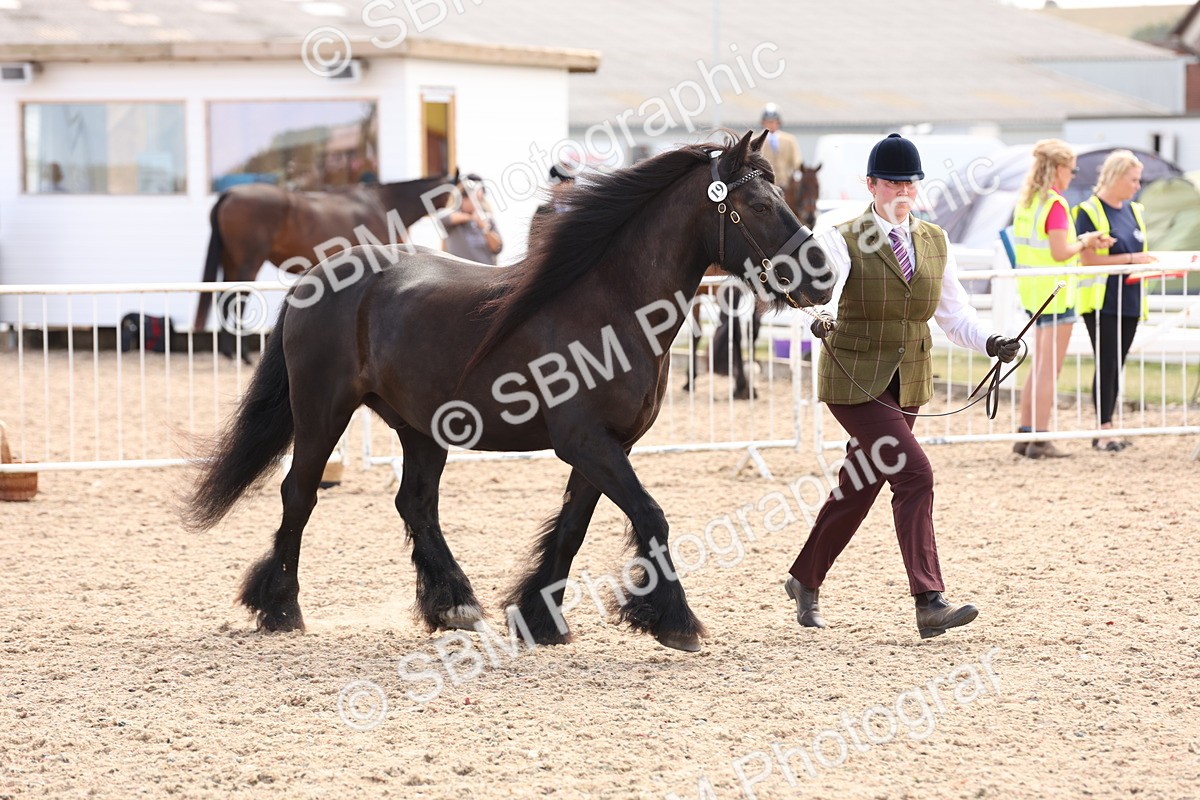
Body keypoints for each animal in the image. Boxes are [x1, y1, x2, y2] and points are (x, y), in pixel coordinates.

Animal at [193, 174, 454, 336]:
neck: (381, 203)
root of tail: (230, 194)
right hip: (249, 263)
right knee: (237, 297)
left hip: (231, 260)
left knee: (223, 296)